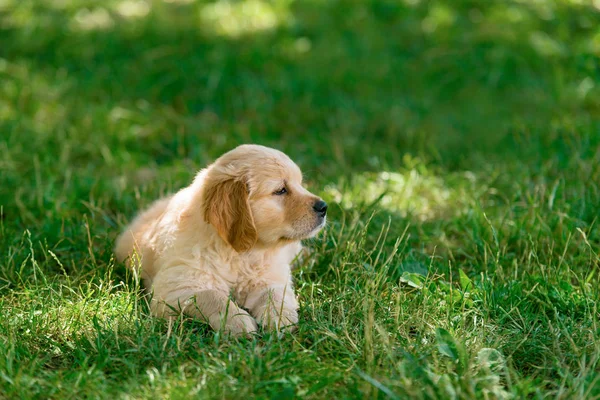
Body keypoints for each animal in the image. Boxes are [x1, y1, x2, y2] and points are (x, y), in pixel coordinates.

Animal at [114, 144, 326, 334]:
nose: (324, 207)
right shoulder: (176, 287)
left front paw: (280, 318)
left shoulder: (270, 276)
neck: (240, 252)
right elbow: (211, 295)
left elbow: (274, 294)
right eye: (281, 190)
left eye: (300, 184)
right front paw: (238, 322)